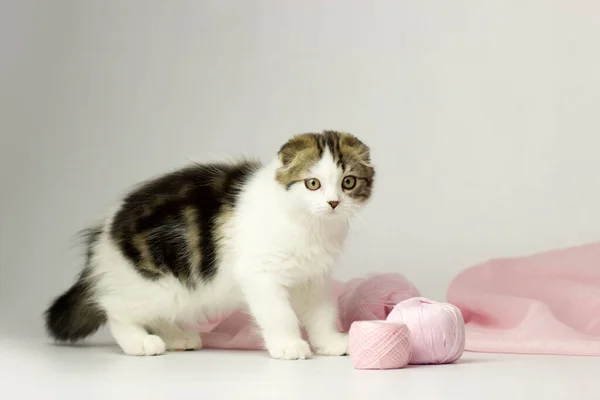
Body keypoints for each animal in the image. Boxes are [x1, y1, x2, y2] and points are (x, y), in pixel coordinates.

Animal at [45, 131, 376, 360]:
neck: (311, 226)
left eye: (348, 182)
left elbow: (322, 314)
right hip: (158, 285)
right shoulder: (260, 274)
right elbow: (279, 314)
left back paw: (177, 338)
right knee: (113, 308)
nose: (333, 203)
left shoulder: (314, 278)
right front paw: (289, 345)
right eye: (312, 184)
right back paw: (139, 342)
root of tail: (103, 233)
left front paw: (330, 342)